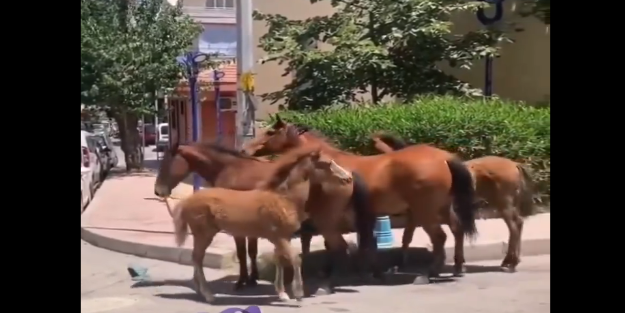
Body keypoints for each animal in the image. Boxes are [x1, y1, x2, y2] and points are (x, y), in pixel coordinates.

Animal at [240, 115, 478, 280]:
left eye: (271, 132)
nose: (244, 150)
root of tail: (445, 157)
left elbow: (334, 243)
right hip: (443, 207)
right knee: (457, 230)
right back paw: (458, 266)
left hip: (426, 211)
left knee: (440, 237)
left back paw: (429, 273)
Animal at [370, 132, 536, 270]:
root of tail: (515, 164)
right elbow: (409, 236)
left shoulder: (417, 212)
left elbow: (408, 236)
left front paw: (401, 263)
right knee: (518, 224)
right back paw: (511, 260)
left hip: (503, 202)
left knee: (514, 226)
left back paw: (510, 262)